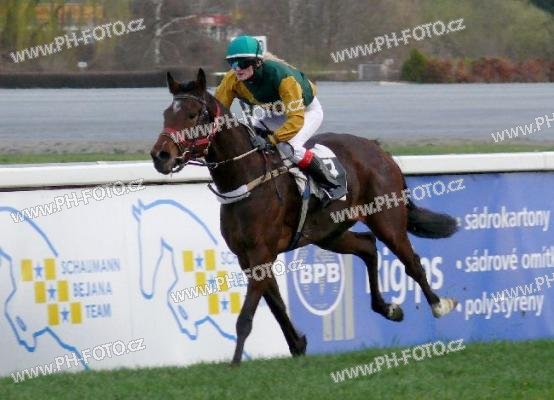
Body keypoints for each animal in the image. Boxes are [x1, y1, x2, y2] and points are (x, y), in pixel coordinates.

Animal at [150, 68, 459, 365]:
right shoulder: (247, 258)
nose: (160, 155)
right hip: (329, 233)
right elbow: (276, 305)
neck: (247, 178)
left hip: (387, 219)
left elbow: (246, 317)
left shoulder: (261, 253)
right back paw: (388, 308)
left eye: (192, 114)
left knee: (412, 262)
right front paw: (297, 345)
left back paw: (439, 305)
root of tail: (378, 149)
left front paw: (235, 364)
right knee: (368, 247)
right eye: (166, 114)